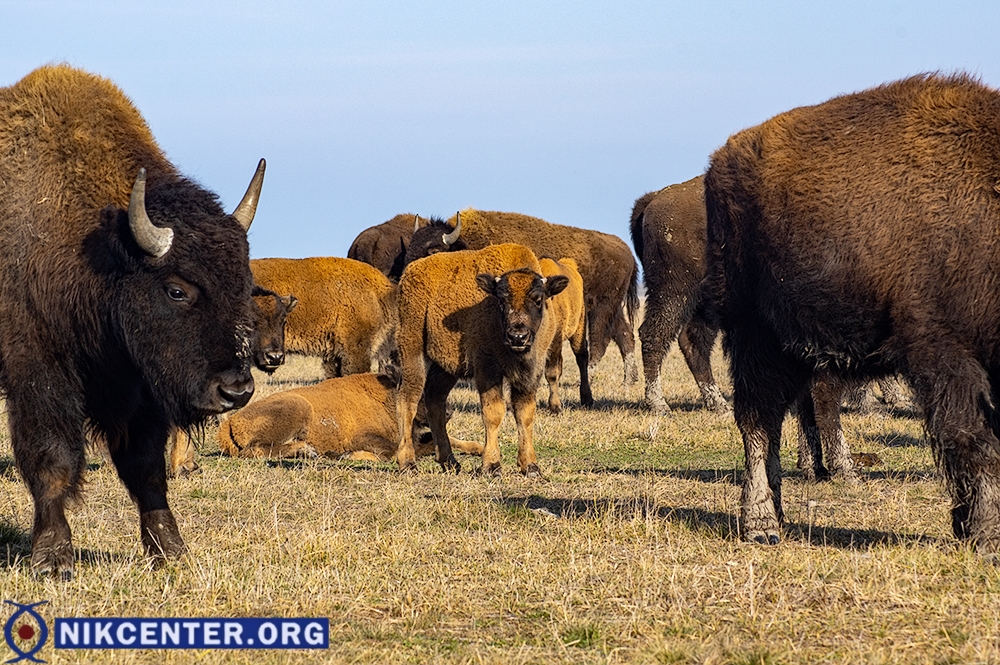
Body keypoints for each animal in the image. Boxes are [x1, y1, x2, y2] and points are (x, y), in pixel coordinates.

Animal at [0, 65, 266, 580]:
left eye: (245, 285)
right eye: (177, 289)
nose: (235, 391)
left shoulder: (139, 388)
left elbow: (146, 468)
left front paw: (171, 550)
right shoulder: (37, 371)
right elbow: (51, 459)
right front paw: (53, 559)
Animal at [394, 244, 568, 478]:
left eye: (538, 299)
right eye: (501, 300)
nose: (517, 337)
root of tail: (410, 271)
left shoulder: (531, 372)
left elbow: (525, 413)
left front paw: (531, 466)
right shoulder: (487, 368)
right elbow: (494, 412)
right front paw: (492, 466)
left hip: (446, 368)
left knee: (435, 401)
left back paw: (450, 462)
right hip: (413, 351)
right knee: (408, 399)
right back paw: (408, 463)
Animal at [402, 208, 636, 384]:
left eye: (433, 250)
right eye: (409, 250)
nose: (409, 274)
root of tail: (627, 251)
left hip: (601, 308)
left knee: (600, 340)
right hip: (614, 308)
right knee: (625, 335)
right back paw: (629, 380)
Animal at [704, 72, 1000, 548]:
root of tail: (719, 162)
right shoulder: (948, 355)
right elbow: (975, 440)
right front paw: (987, 536)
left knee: (776, 419)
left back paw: (780, 513)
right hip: (752, 332)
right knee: (757, 421)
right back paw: (761, 524)